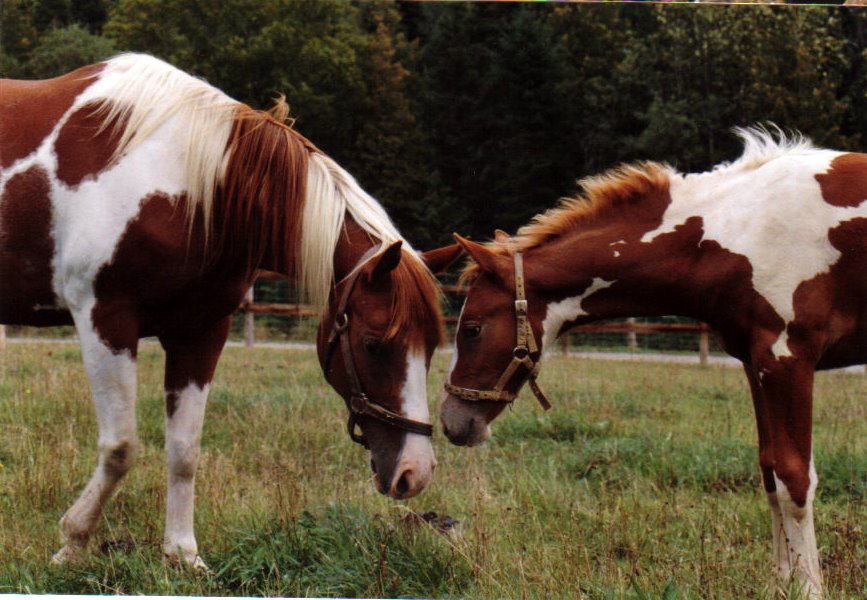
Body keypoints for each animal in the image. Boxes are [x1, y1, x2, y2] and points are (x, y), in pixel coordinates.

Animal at [0, 54, 462, 568]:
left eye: (433, 347)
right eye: (373, 344)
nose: (414, 472)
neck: (191, 182)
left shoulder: (201, 332)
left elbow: (185, 450)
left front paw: (182, 554)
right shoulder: (104, 320)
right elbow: (120, 447)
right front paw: (73, 542)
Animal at [444, 129, 864, 596]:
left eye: (472, 329)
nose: (453, 421)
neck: (736, 228)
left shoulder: (788, 360)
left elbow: (794, 479)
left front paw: (808, 587)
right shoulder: (756, 363)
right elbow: (770, 472)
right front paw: (781, 583)